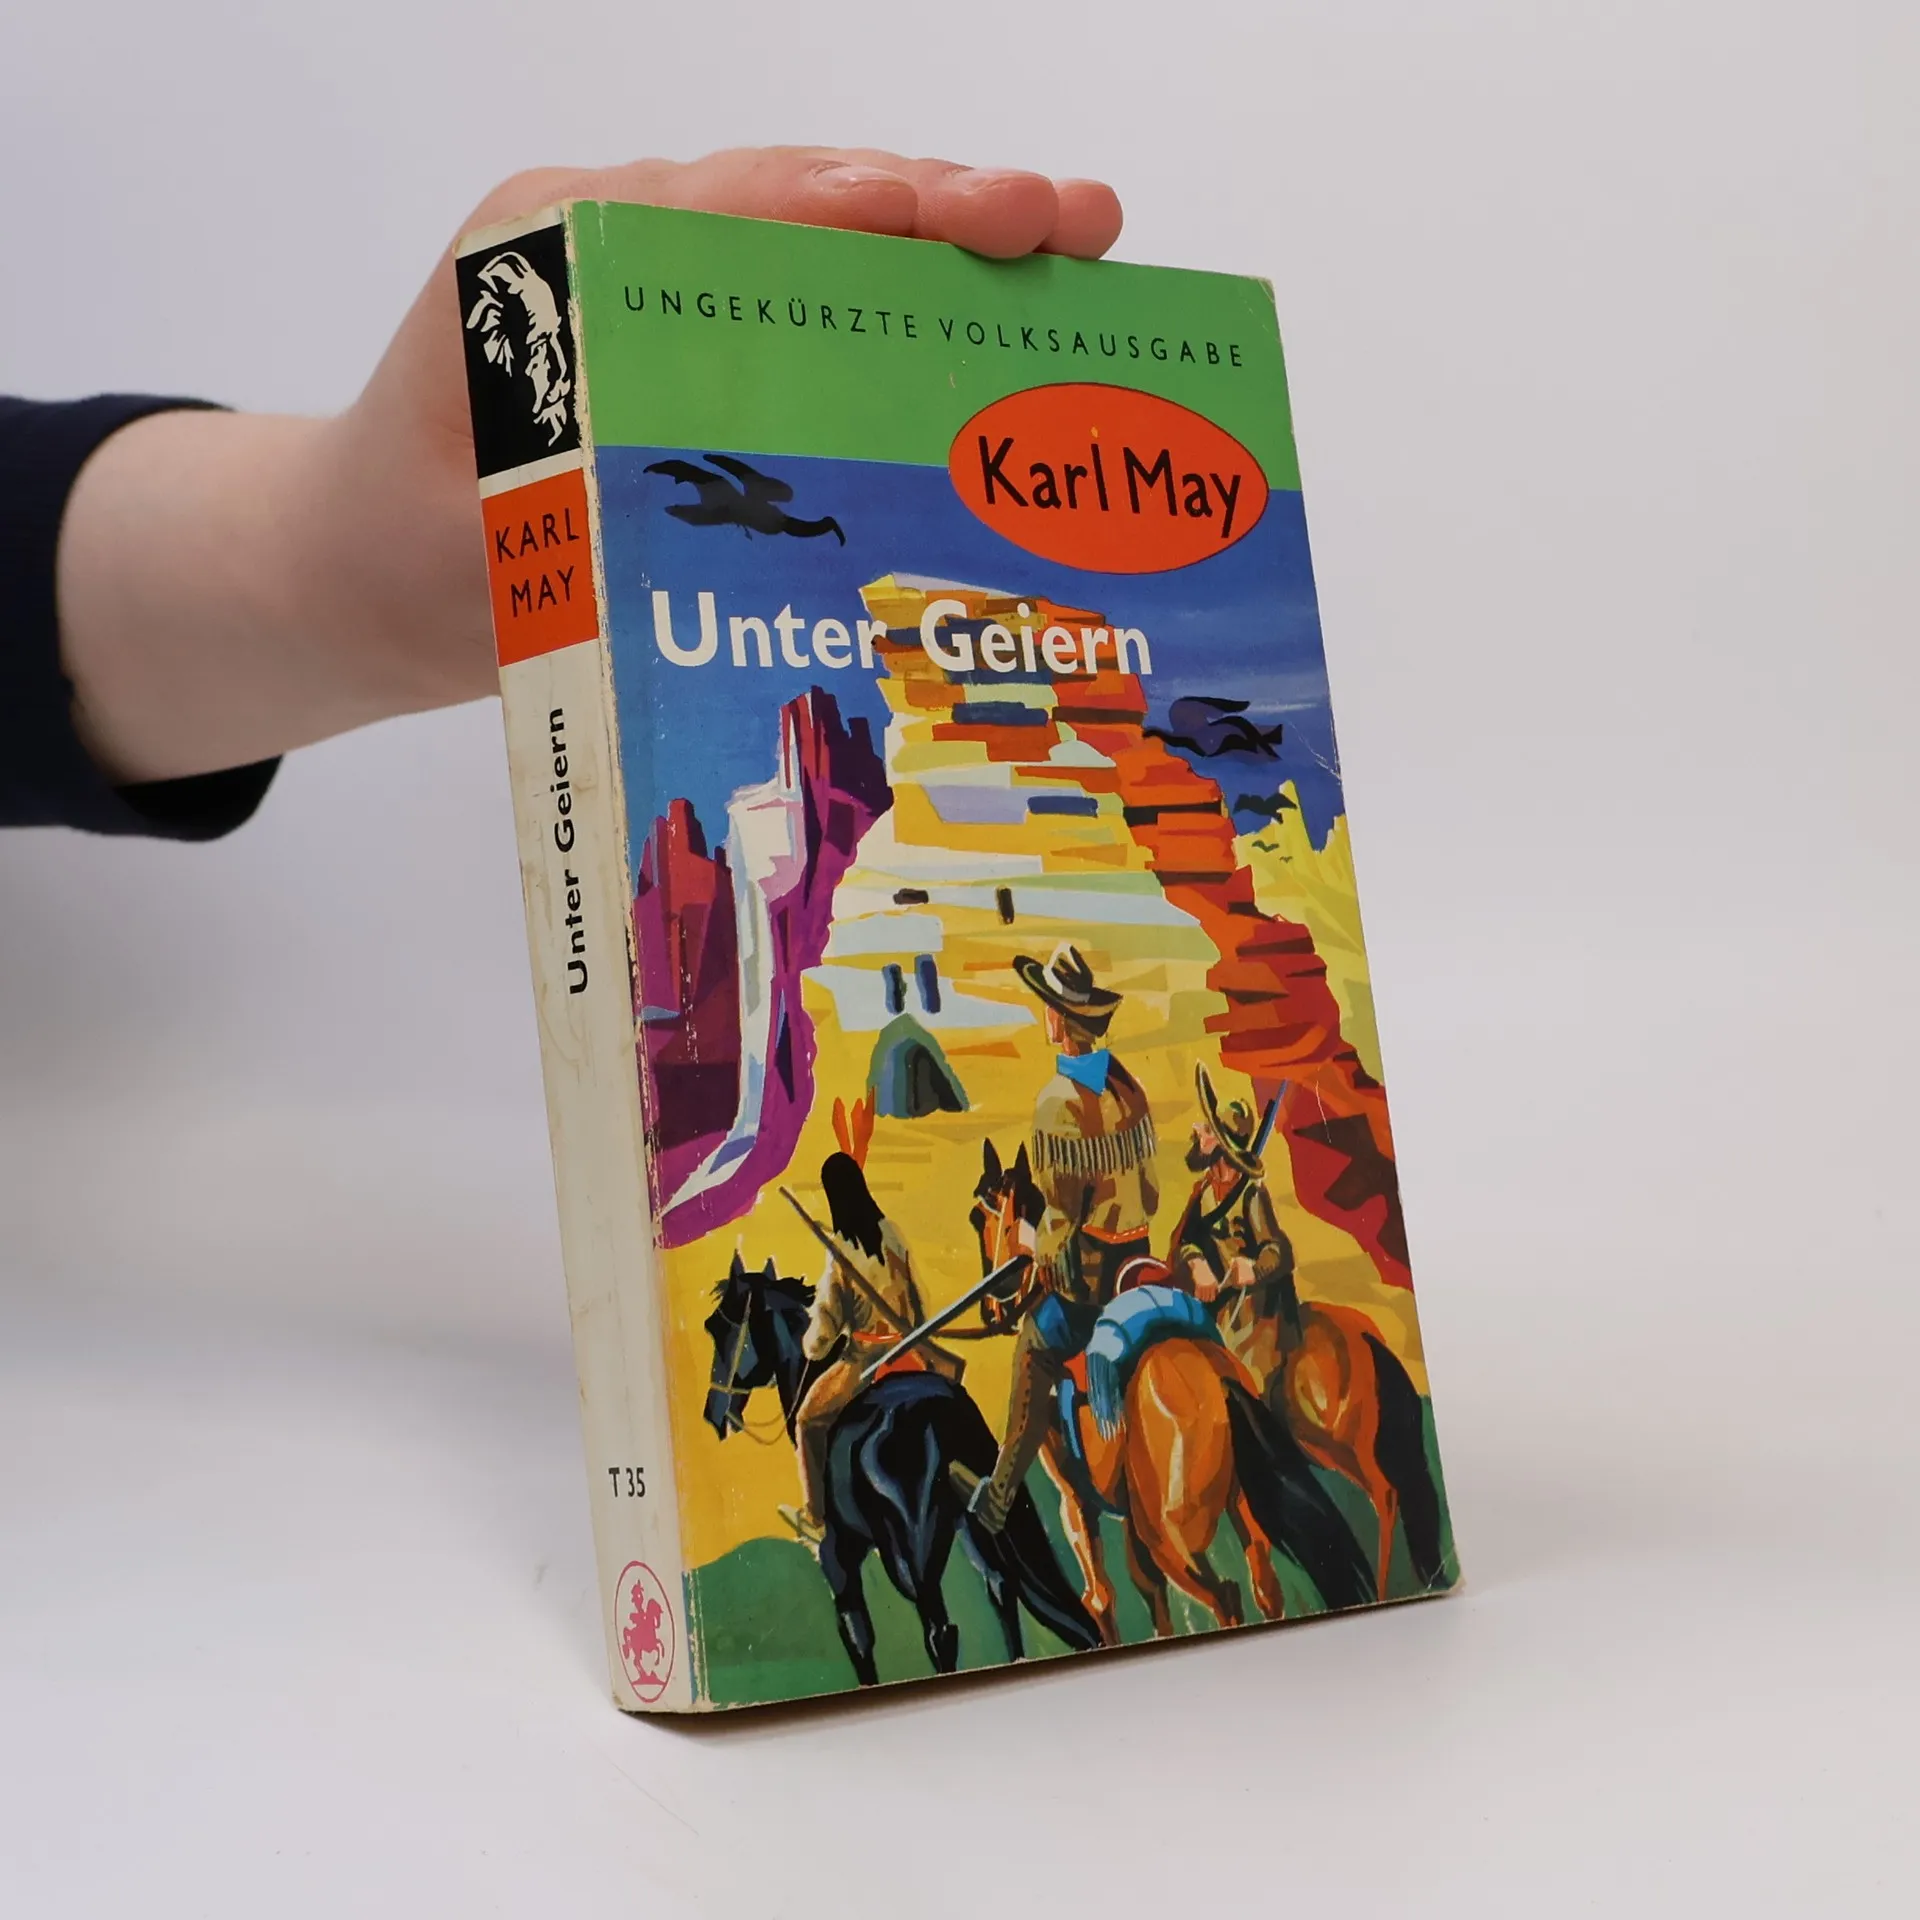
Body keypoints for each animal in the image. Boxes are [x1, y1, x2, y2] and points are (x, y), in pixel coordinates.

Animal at [701, 1252, 1103, 1687]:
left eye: (720, 1327)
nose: (714, 1414)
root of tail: (940, 1410)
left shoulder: (838, 1559)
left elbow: (857, 1637)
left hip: (913, 1556)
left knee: (941, 1632)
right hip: (974, 1529)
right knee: (1002, 1589)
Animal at [969, 1143, 1374, 1642]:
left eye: (981, 1216)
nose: (992, 1309)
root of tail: (1215, 1374)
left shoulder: (1075, 1501)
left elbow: (1100, 1596)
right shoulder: (1128, 1512)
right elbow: (1147, 1586)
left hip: (1173, 1536)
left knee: (1225, 1595)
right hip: (1242, 1511)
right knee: (1264, 1586)